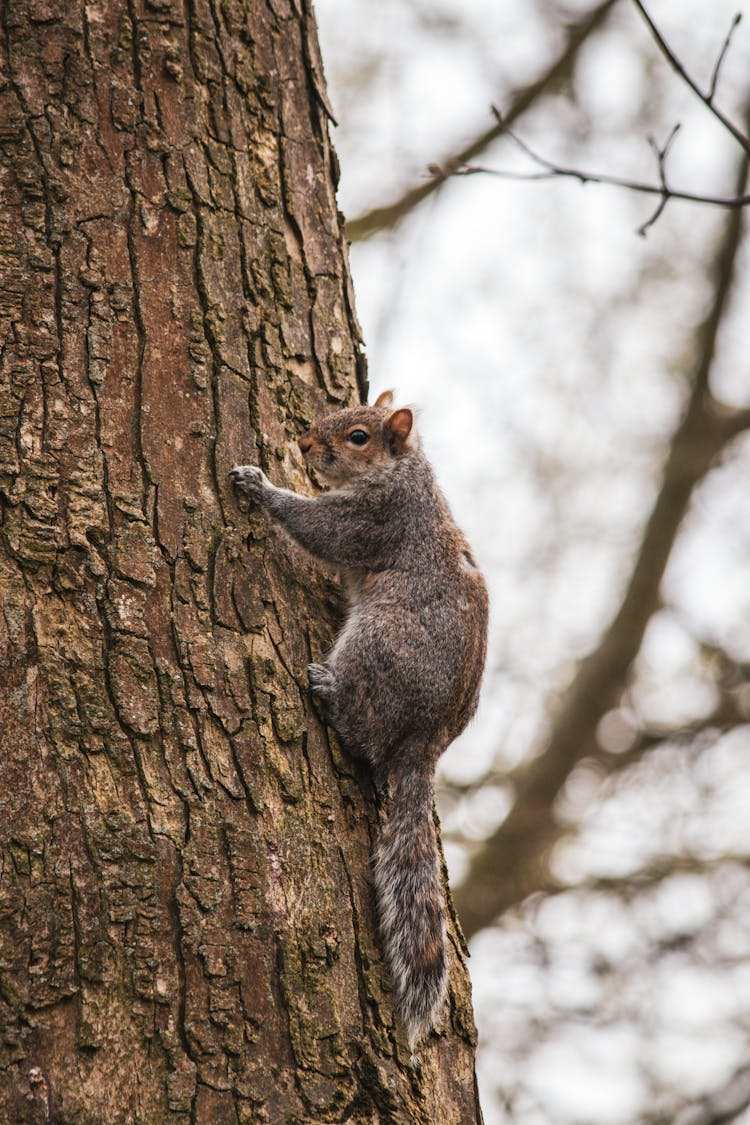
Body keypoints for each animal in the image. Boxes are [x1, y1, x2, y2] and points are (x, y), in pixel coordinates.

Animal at [229, 391, 490, 1048]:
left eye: (357, 437)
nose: (301, 443)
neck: (403, 472)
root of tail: (428, 742)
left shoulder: (375, 518)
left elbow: (323, 529)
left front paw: (259, 484)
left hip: (377, 644)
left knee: (365, 736)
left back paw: (328, 692)